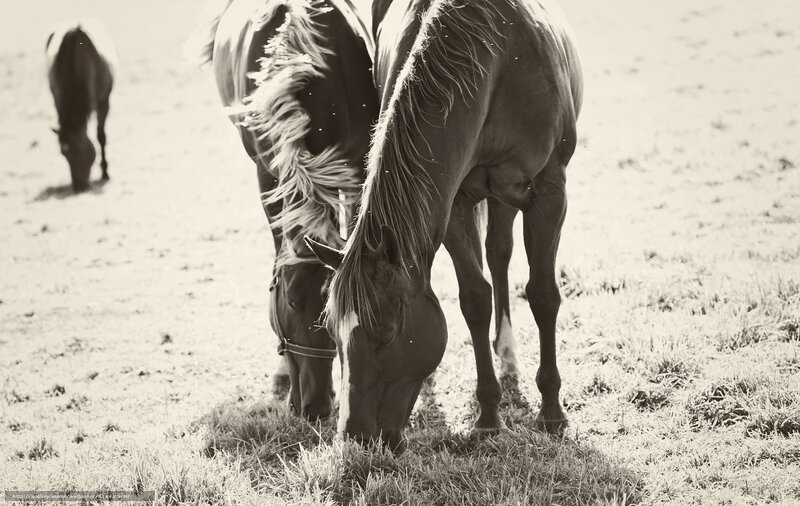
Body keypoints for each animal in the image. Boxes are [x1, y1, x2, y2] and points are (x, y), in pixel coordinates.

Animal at [46, 19, 117, 192]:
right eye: (64, 154)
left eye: (80, 150)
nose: (79, 187)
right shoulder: (57, 101)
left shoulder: (104, 102)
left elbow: (101, 136)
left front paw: (105, 172)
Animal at [306, 0, 582, 452]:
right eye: (331, 333)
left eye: (386, 332)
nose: (355, 438)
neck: (496, 57)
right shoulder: (453, 202)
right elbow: (475, 299)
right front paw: (488, 417)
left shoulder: (549, 191)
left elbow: (542, 295)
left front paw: (552, 413)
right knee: (496, 254)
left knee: (501, 253)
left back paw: (509, 354)